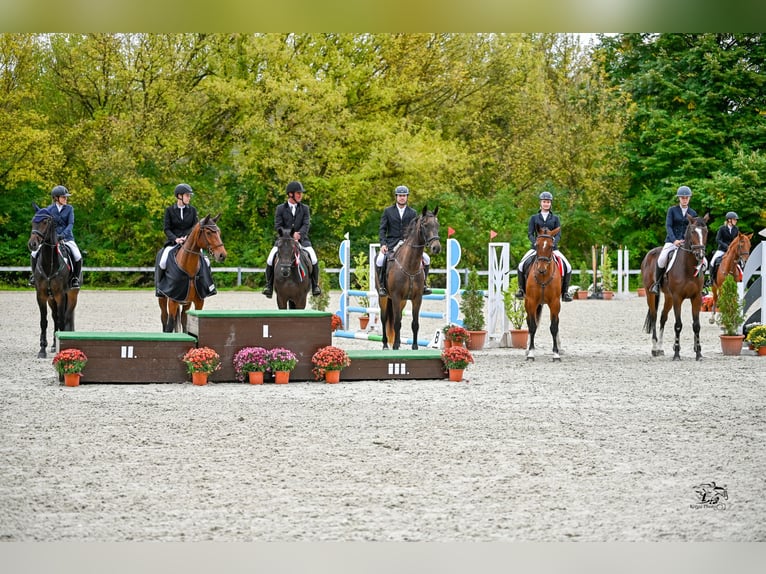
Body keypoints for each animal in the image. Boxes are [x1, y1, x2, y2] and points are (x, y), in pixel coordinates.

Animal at [27, 202, 79, 358]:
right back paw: (54, 345)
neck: (49, 264)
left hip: (72, 295)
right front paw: (42, 350)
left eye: (45, 222)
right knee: (55, 317)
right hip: (51, 299)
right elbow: (44, 321)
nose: (32, 244)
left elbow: (62, 320)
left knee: (65, 316)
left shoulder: (60, 295)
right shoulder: (42, 295)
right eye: (33, 221)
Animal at [378, 206, 444, 352]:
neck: (410, 266)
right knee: (384, 319)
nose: (436, 248)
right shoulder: (396, 297)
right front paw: (395, 346)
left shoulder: (417, 298)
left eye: (437, 225)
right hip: (384, 298)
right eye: (425, 225)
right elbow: (396, 323)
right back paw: (385, 345)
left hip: (402, 302)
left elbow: (415, 323)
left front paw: (414, 346)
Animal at [524, 227, 568, 362]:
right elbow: (532, 326)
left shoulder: (554, 303)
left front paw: (556, 354)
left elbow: (554, 327)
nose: (541, 269)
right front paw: (531, 353)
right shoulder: (532, 301)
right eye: (536, 245)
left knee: (557, 323)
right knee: (529, 322)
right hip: (528, 303)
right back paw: (527, 348)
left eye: (551, 246)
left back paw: (560, 348)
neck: (543, 276)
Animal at [640, 214, 712, 362]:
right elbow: (678, 325)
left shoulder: (696, 298)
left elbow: (696, 325)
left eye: (706, 231)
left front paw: (698, 353)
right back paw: (655, 348)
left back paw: (660, 348)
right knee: (654, 316)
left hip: (668, 297)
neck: (688, 267)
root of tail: (649, 254)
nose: (700, 255)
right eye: (692, 231)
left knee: (663, 317)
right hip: (651, 295)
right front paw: (677, 354)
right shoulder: (678, 298)